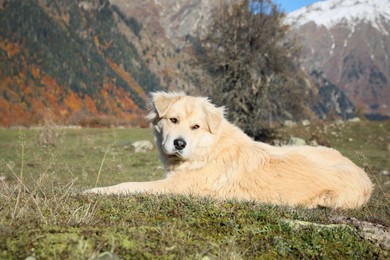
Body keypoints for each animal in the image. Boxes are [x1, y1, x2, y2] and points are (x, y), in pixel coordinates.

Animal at [87, 92, 374, 209]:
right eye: (173, 120)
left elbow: (127, 185)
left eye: (196, 126)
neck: (207, 149)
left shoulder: (175, 187)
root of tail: (365, 177)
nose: (179, 143)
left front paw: (94, 190)